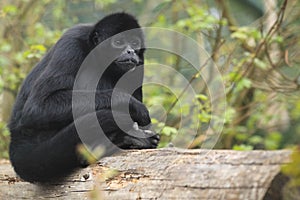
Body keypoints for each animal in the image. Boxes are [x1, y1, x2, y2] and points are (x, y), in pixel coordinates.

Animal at [8, 12, 159, 183]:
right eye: (118, 42)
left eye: (134, 43)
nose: (130, 51)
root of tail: (17, 138)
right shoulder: (71, 43)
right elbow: (38, 107)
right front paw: (132, 106)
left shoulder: (140, 62)